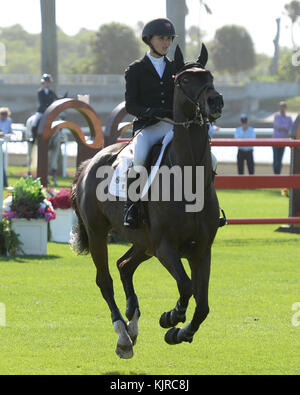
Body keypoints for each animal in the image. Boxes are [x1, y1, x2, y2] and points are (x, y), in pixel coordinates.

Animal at [71, 44, 224, 360]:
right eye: (184, 79)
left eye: (210, 76)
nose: (216, 101)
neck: (187, 175)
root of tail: (89, 163)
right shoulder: (166, 247)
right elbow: (186, 287)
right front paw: (171, 317)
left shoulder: (201, 250)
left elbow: (202, 305)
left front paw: (180, 333)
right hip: (99, 234)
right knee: (105, 280)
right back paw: (123, 335)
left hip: (143, 243)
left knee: (124, 265)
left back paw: (132, 322)